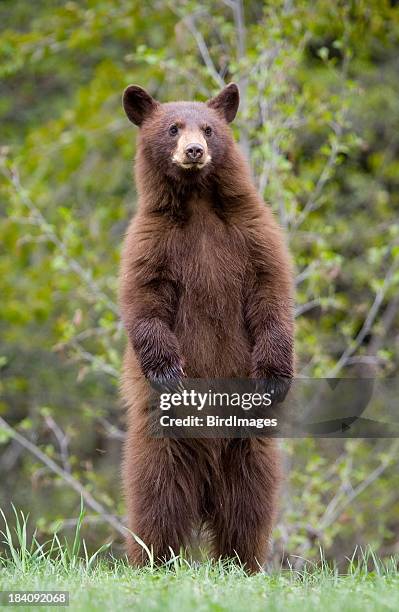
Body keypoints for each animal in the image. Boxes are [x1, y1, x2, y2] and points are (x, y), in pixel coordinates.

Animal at [119, 82, 294, 572]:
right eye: (173, 128)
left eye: (210, 128)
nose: (194, 151)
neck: (197, 203)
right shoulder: (150, 243)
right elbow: (145, 302)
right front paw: (168, 371)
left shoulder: (253, 236)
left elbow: (271, 294)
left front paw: (274, 377)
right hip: (163, 438)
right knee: (156, 496)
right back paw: (151, 561)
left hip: (247, 440)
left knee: (249, 500)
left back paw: (241, 562)